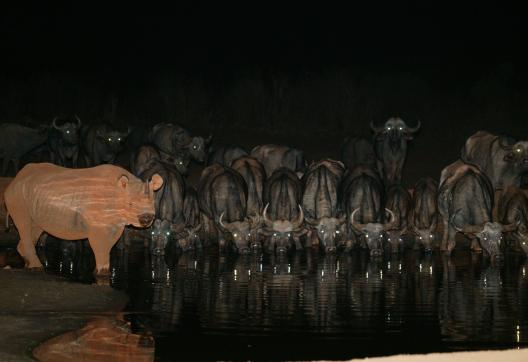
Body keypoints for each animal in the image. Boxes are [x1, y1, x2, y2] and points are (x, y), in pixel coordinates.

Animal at [3, 163, 163, 278]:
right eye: (130, 204)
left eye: (153, 202)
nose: (146, 219)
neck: (119, 191)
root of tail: (15, 179)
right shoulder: (99, 224)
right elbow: (100, 245)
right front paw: (102, 274)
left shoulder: (114, 222)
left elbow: (108, 246)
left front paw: (104, 272)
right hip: (17, 194)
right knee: (24, 224)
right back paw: (36, 267)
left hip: (32, 194)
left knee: (36, 227)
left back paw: (29, 263)